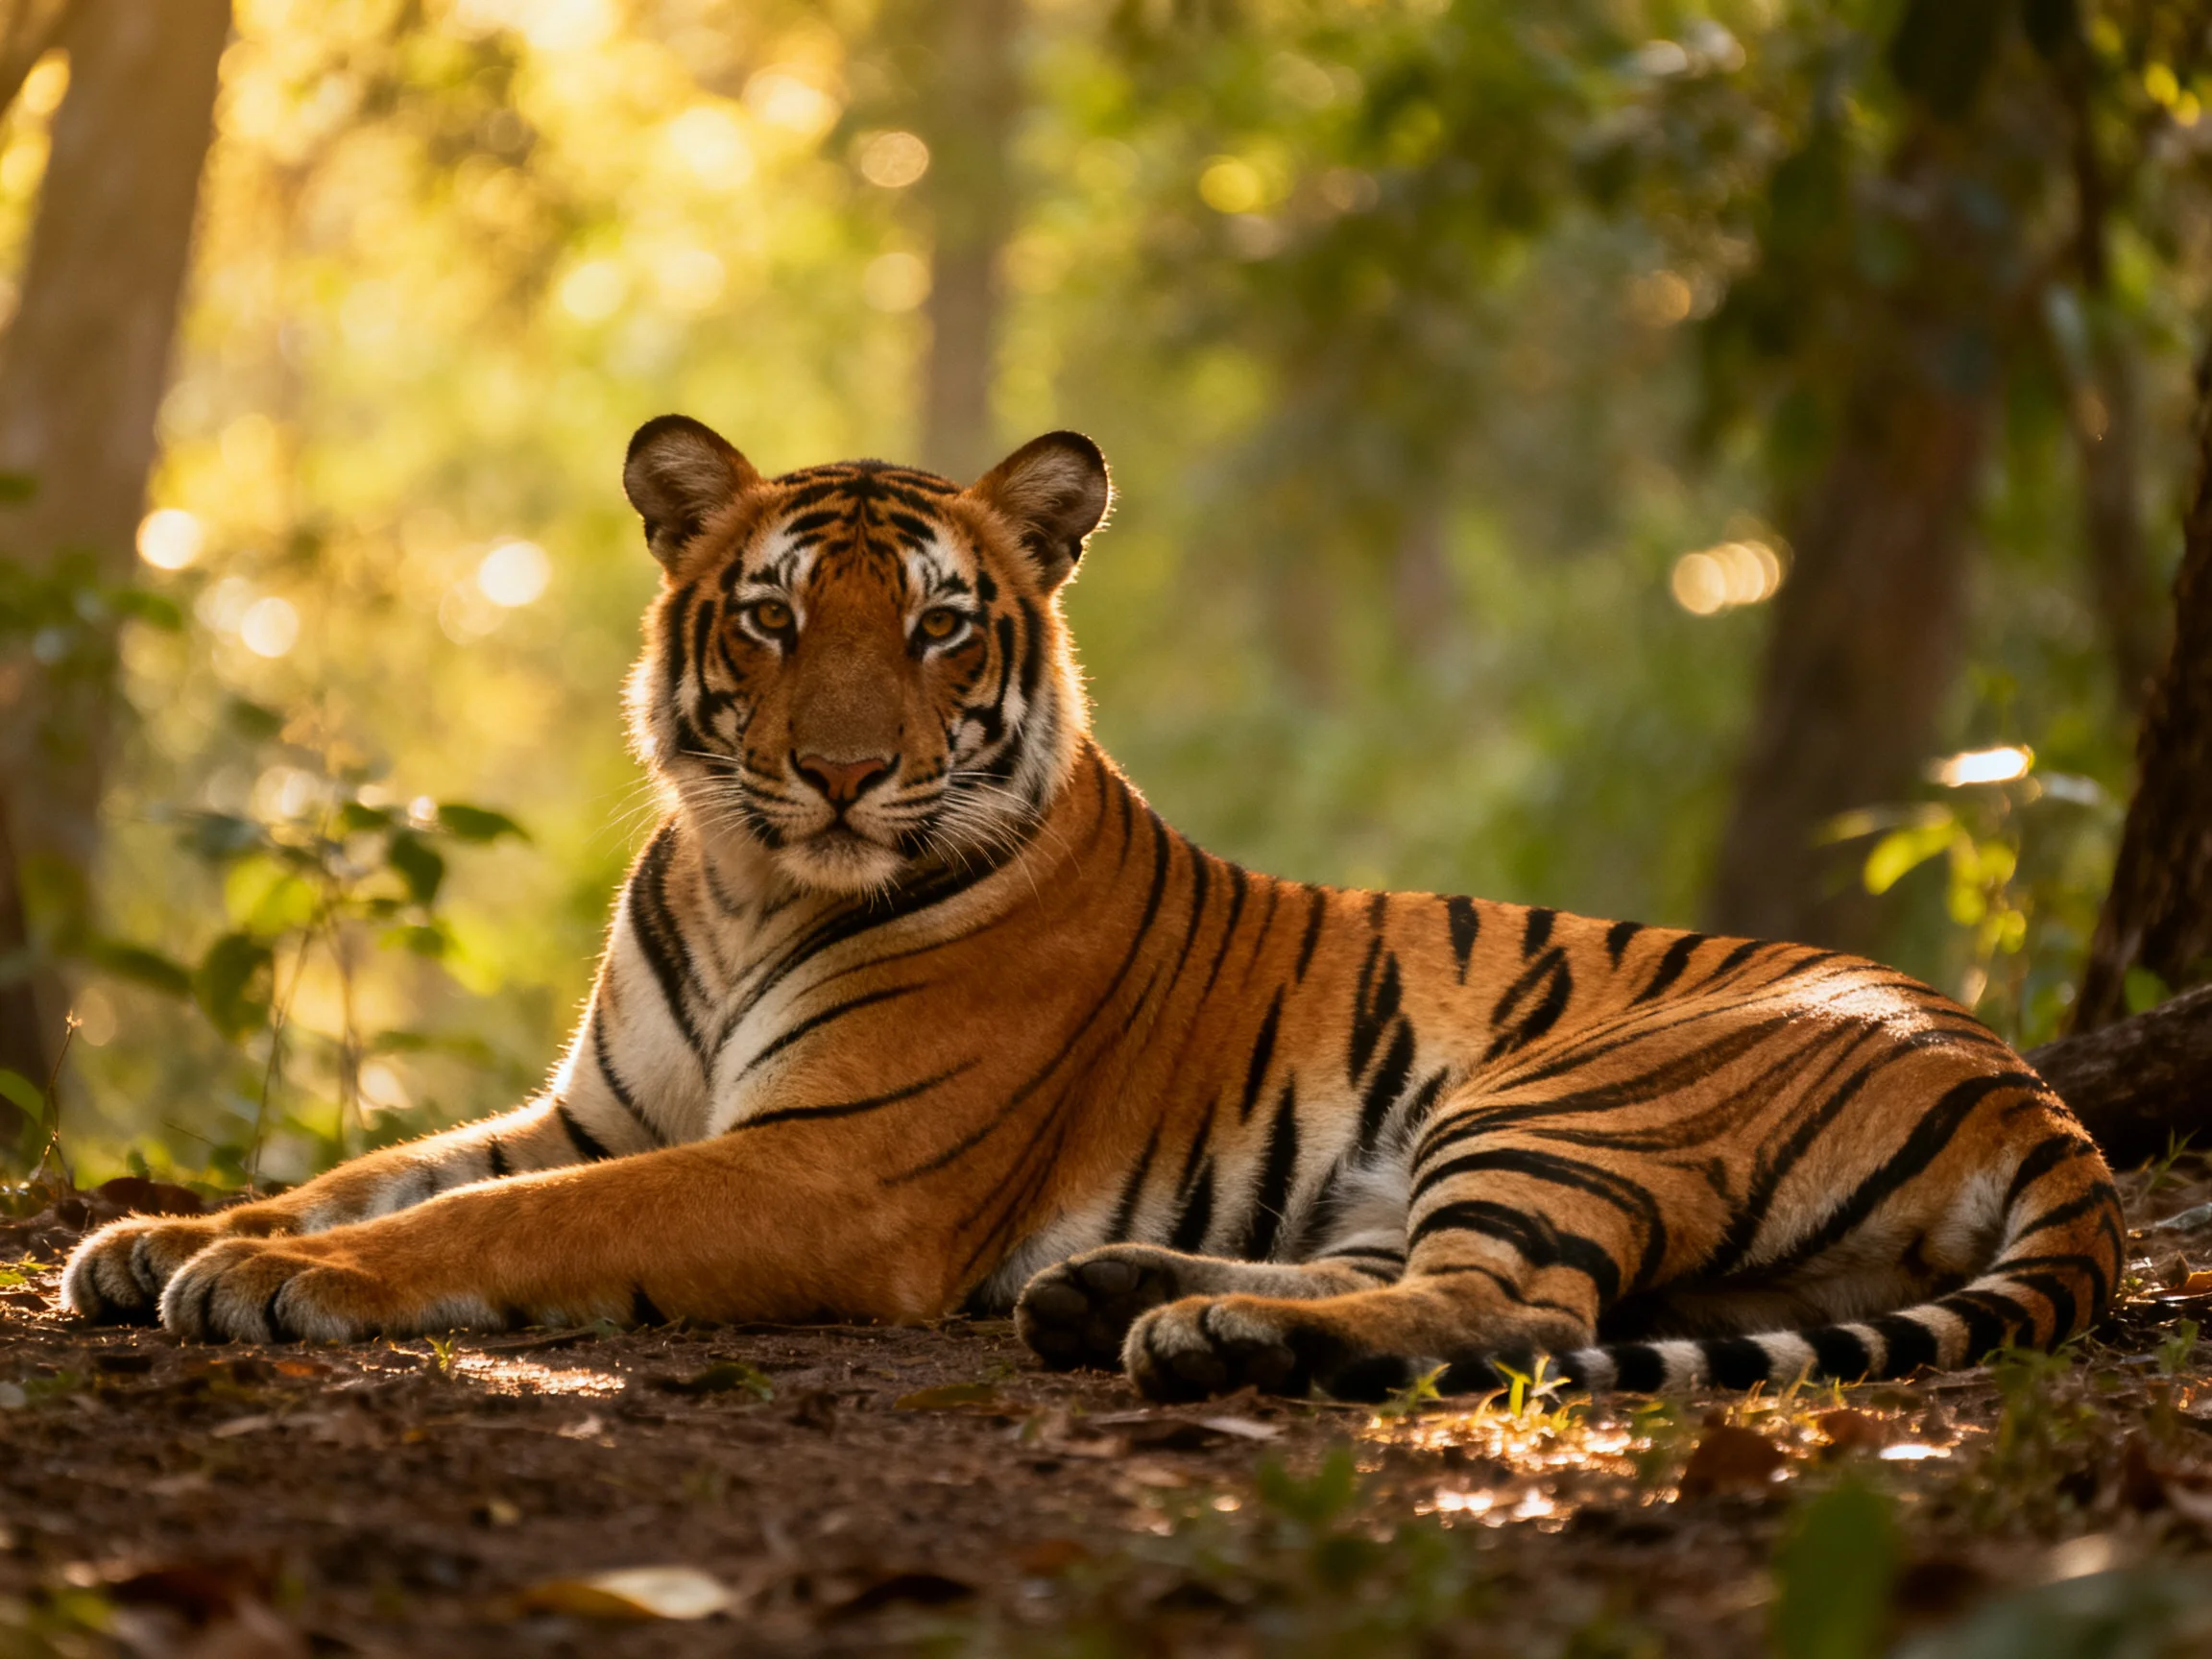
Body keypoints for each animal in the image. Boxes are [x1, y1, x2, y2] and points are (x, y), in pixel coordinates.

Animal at [62, 416, 2124, 1403]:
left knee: (1510, 1307)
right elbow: (374, 1167)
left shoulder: (824, 1165)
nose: (838, 772)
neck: (742, 883)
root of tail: (2033, 1091)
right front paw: (159, 1235)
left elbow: (503, 1216)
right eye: (772, 615)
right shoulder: (597, 1104)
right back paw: (1132, 1299)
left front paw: (279, 1280)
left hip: (1569, 1092)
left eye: (937, 627)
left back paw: (1198, 1337)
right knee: (1458, 1281)